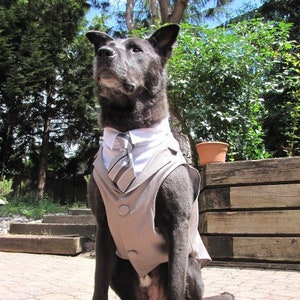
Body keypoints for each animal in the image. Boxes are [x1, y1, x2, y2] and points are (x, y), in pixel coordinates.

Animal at [86, 25, 213, 300]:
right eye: (106, 45)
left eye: (136, 49)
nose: (102, 53)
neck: (127, 129)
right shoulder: (102, 227)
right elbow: (98, 282)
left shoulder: (177, 224)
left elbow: (175, 285)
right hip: (119, 267)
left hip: (191, 267)